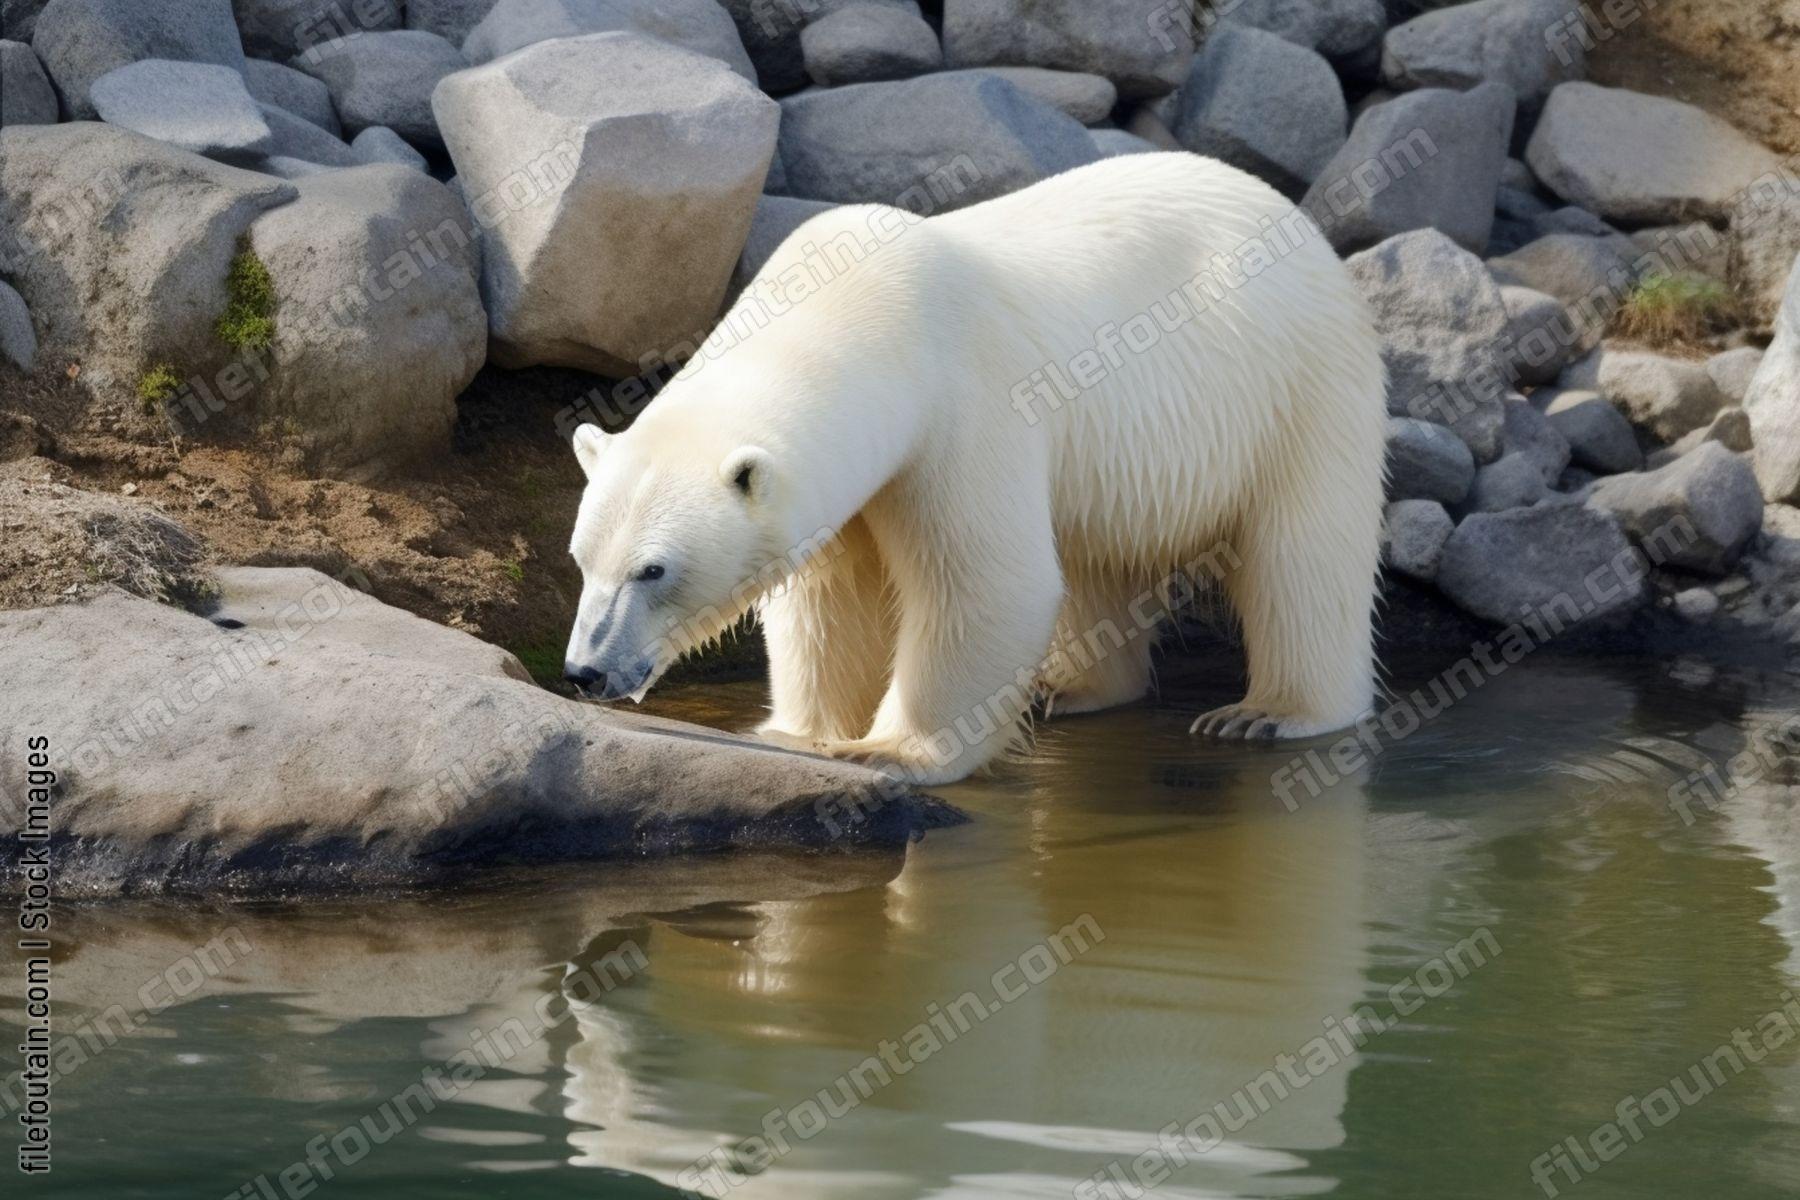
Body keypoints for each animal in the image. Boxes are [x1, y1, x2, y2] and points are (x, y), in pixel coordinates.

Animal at [563, 151, 1388, 785]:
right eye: (581, 560)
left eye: (653, 570)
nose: (586, 672)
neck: (863, 309)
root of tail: (1301, 224)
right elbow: (831, 597)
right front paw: (796, 735)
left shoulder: (964, 405)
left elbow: (988, 583)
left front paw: (888, 751)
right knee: (1093, 555)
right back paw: (1070, 686)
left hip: (1299, 390)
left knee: (1303, 556)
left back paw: (1268, 714)